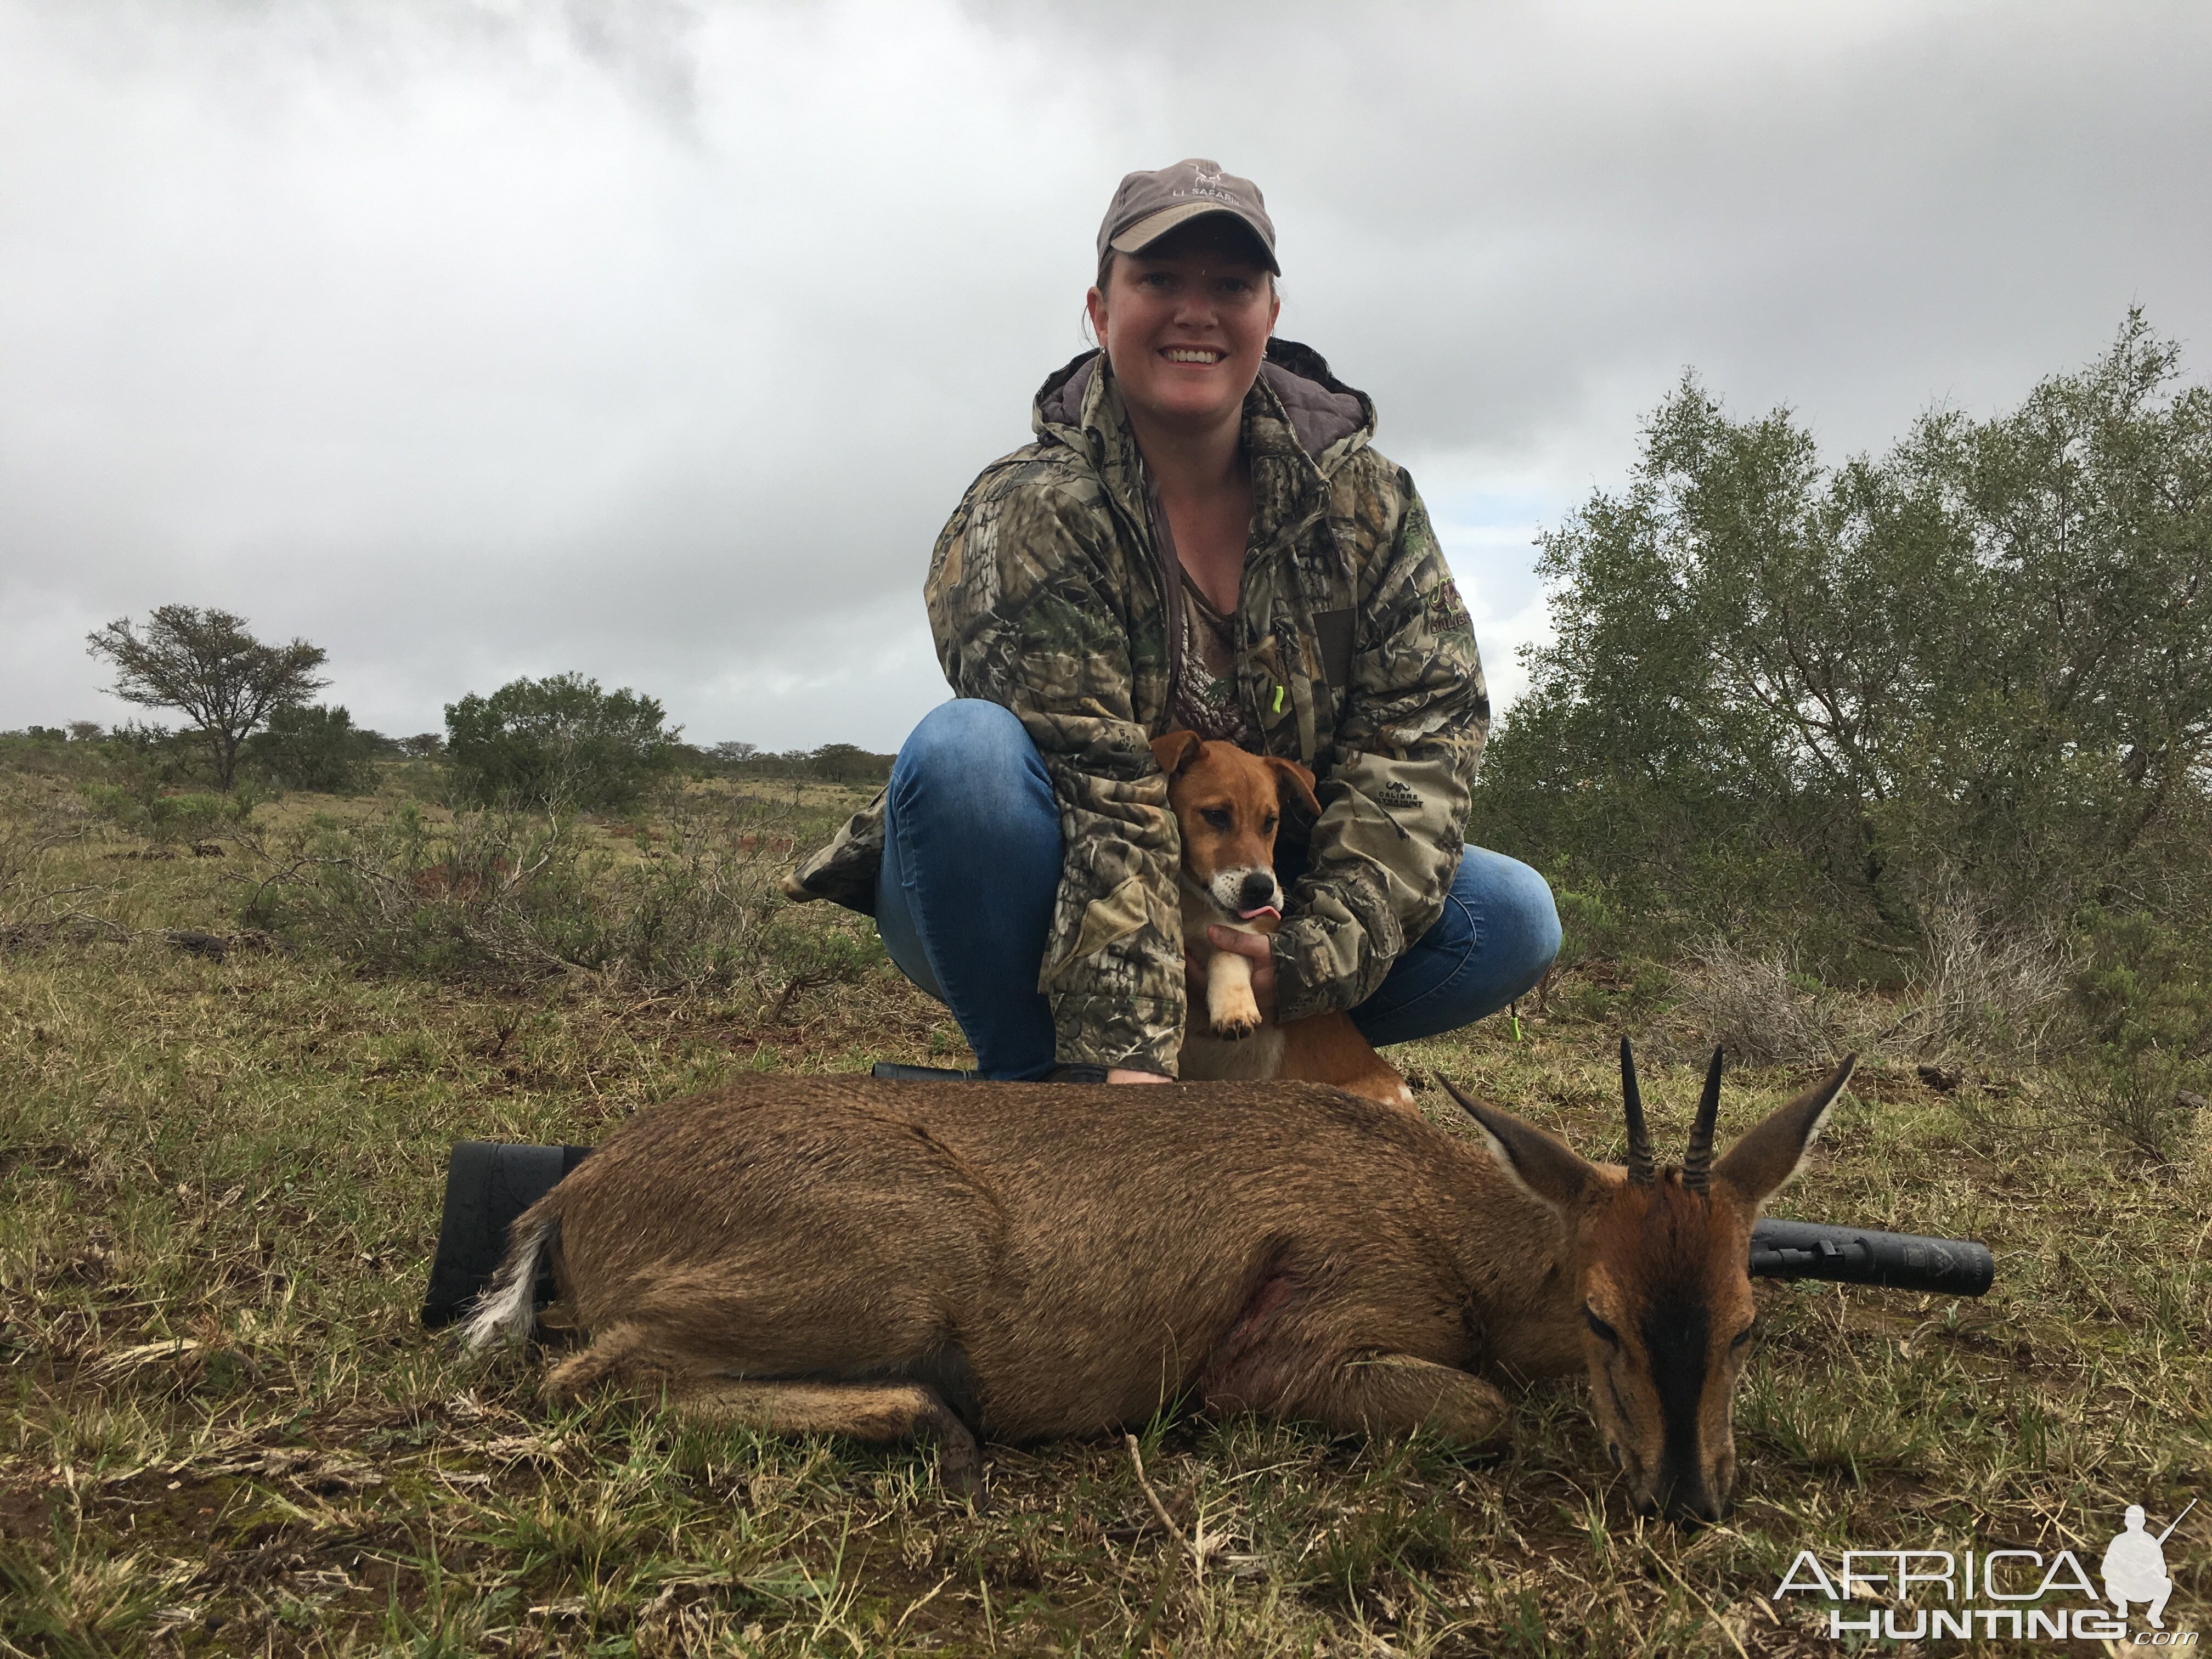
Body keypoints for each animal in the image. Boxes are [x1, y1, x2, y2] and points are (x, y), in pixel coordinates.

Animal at [475, 1044, 1858, 1531]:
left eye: (1745, 1322)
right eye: (1601, 1316)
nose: (1689, 1500)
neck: (1438, 1215)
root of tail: (577, 1190)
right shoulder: (1279, 1358)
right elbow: (1488, 1410)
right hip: (895, 1280)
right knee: (584, 1377)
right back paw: (947, 1437)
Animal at [1159, 730, 1415, 1110]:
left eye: (1270, 822)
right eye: (1216, 816)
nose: (1262, 889)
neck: (1196, 907)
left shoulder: (1260, 930)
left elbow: (1227, 946)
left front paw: (1233, 1006)